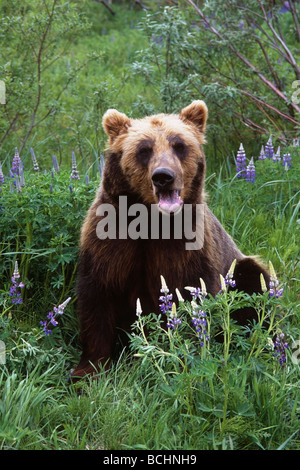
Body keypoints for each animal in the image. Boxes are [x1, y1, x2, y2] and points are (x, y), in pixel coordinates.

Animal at [72, 100, 270, 378]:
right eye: (144, 149)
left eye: (179, 145)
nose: (163, 176)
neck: (152, 221)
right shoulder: (110, 239)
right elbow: (97, 296)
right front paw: (88, 368)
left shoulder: (189, 249)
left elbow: (190, 296)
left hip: (238, 266)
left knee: (255, 283)